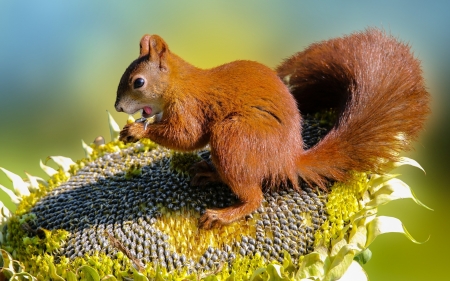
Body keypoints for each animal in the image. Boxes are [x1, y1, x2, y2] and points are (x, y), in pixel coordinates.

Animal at [115, 28, 428, 229]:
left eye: (138, 82)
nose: (118, 107)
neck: (180, 84)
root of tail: (287, 161)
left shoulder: (190, 108)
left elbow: (187, 137)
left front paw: (138, 132)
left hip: (234, 138)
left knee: (254, 197)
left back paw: (223, 215)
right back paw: (210, 173)